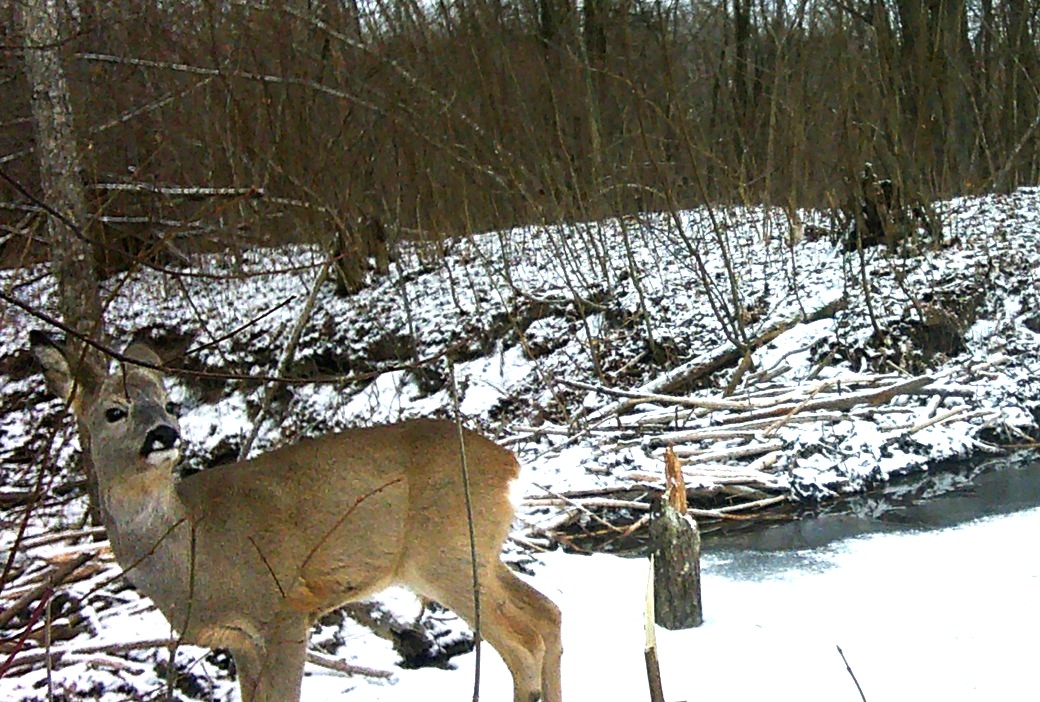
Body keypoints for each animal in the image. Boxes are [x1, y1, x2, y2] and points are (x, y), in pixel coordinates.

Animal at [32, 332, 565, 702]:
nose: (165, 433)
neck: (193, 554)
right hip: (476, 554)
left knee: (523, 646)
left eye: (170, 403)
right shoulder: (238, 640)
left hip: (445, 555)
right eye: (114, 412)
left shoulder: (284, 606)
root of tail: (509, 464)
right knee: (548, 613)